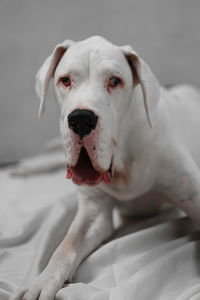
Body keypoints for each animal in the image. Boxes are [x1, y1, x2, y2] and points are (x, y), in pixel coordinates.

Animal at [11, 35, 200, 300]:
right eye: (65, 80)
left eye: (114, 81)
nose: (81, 118)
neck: (123, 161)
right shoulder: (94, 212)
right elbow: (65, 247)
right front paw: (41, 281)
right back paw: (27, 166)